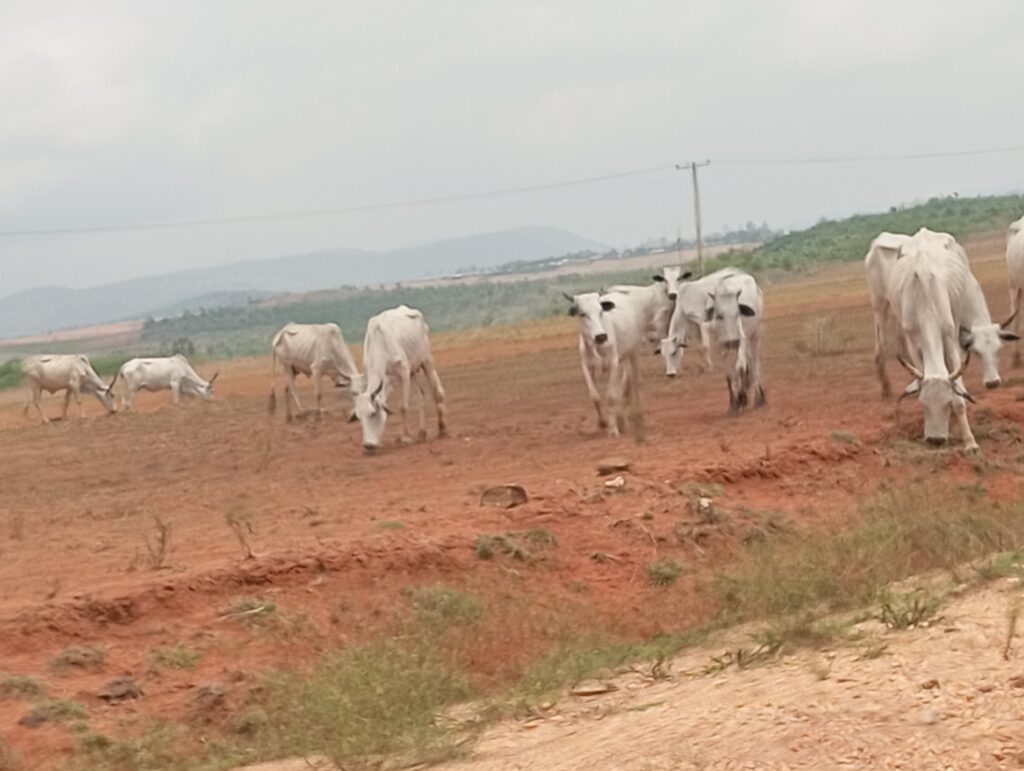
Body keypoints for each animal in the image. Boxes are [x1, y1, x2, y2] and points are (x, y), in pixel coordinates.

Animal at [348, 306, 447, 451]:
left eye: (373, 413)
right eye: (359, 418)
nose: (368, 445)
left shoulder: (404, 373)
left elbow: (403, 407)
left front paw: (405, 438)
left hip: (426, 360)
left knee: (436, 392)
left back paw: (442, 430)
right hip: (413, 371)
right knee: (420, 396)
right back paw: (422, 433)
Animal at [566, 288, 649, 439]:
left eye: (601, 311)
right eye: (582, 314)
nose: (601, 336)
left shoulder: (613, 362)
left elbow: (611, 396)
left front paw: (613, 429)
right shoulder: (587, 366)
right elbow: (595, 396)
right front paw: (602, 422)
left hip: (634, 351)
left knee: (635, 382)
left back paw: (638, 417)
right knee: (625, 383)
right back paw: (622, 418)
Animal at [704, 272, 766, 415]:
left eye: (738, 313)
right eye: (719, 316)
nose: (732, 341)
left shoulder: (742, 341)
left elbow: (740, 368)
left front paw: (742, 398)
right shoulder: (719, 346)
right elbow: (729, 374)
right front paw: (734, 403)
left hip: (756, 335)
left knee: (754, 363)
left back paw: (759, 398)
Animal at [887, 228, 978, 449]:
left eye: (947, 403)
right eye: (923, 403)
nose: (935, 440)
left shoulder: (949, 336)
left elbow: (959, 396)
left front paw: (970, 441)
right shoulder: (912, 342)